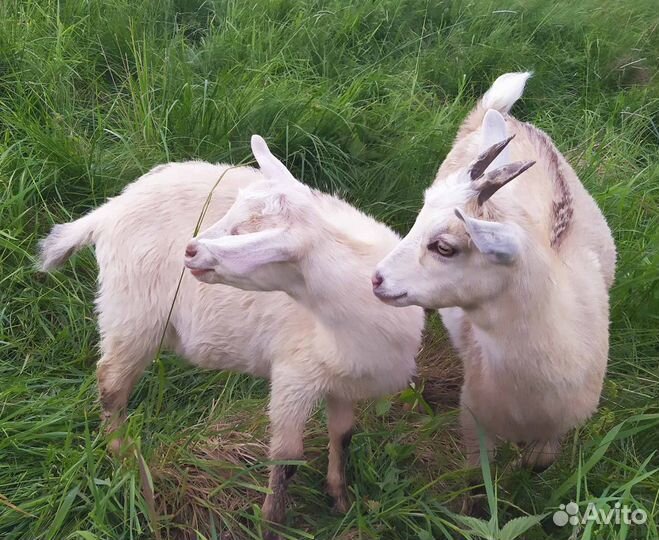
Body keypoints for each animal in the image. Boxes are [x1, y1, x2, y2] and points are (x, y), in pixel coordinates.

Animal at [39, 135, 425, 536]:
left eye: (247, 235)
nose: (191, 249)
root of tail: (107, 212)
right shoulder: (294, 375)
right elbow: (286, 459)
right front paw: (271, 525)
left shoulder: (343, 381)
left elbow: (343, 435)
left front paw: (341, 500)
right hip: (132, 314)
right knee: (111, 385)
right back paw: (123, 455)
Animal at [373, 73, 615, 484]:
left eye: (445, 247)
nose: (377, 279)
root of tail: (495, 114)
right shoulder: (474, 414)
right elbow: (476, 477)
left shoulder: (560, 424)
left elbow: (540, 462)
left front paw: (521, 468)